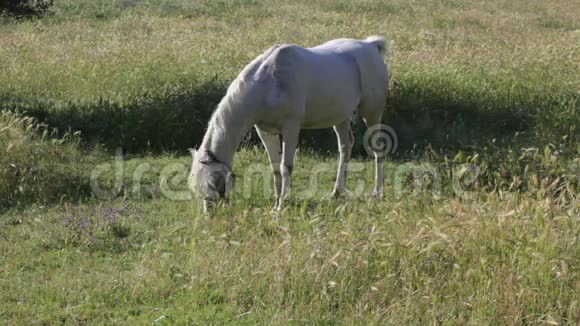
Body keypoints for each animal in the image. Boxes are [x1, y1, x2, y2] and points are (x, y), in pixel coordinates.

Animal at [190, 35, 390, 213]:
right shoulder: (265, 131)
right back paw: (337, 192)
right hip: (341, 118)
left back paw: (377, 193)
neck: (269, 83)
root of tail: (370, 45)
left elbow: (286, 167)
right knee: (345, 146)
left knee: (377, 149)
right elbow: (275, 168)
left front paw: (282, 204)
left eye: (214, 184)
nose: (210, 214)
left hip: (372, 113)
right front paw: (276, 204)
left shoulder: (291, 128)